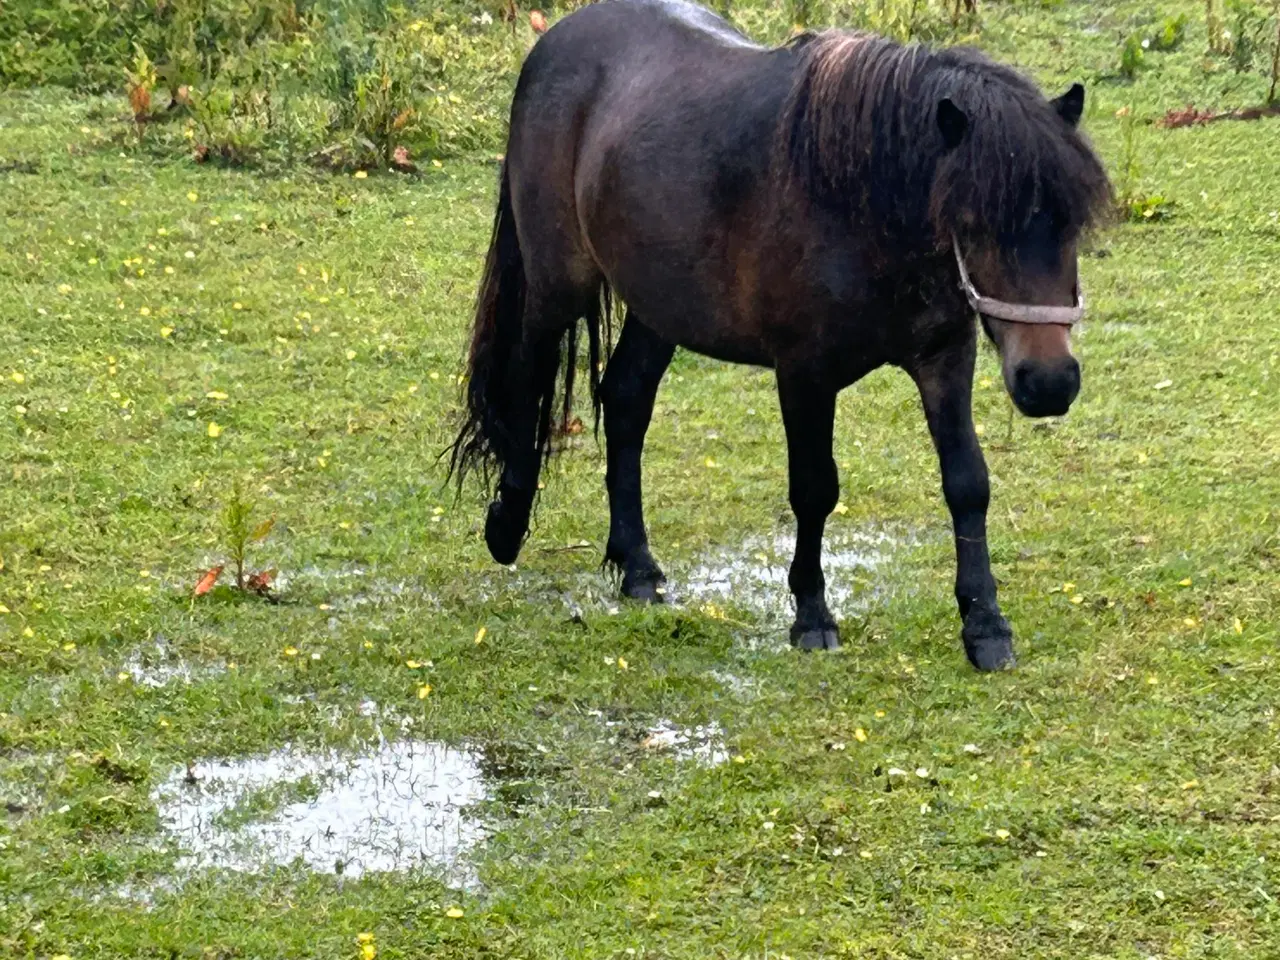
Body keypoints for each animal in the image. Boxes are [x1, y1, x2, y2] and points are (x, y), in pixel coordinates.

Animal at [450, 0, 1111, 670]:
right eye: (973, 222)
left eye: (1071, 224)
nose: (1050, 382)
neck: (858, 203)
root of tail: (555, 40)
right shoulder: (804, 374)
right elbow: (815, 488)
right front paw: (812, 615)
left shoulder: (946, 357)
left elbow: (968, 482)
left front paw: (985, 624)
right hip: (558, 284)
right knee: (527, 380)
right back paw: (506, 526)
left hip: (661, 303)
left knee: (626, 400)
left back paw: (637, 567)